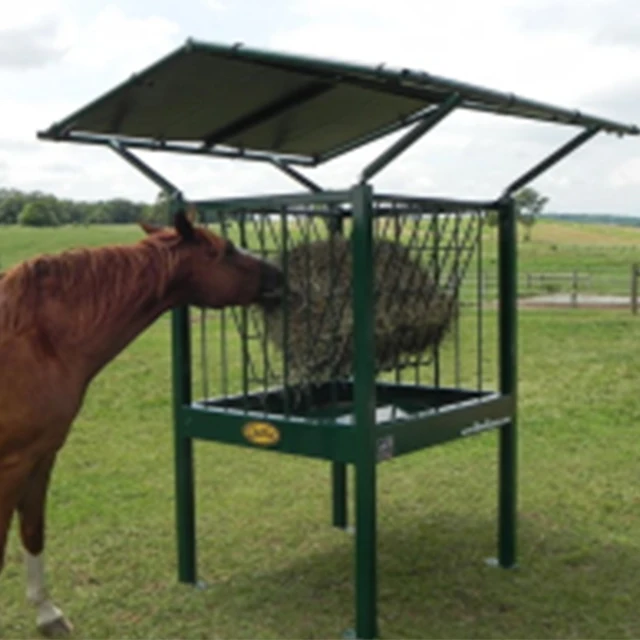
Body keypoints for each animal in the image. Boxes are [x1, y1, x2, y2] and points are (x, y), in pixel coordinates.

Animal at [0, 210, 284, 637]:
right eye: (226, 250)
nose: (281, 274)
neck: (38, 340)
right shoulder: (12, 464)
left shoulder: (41, 456)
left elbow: (33, 530)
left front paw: (46, 613)